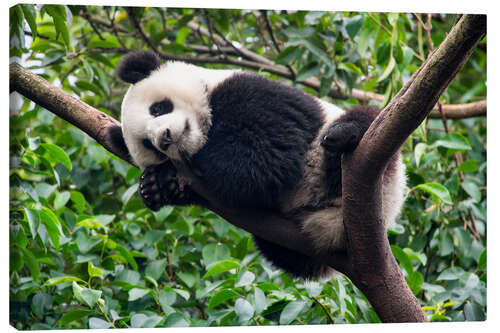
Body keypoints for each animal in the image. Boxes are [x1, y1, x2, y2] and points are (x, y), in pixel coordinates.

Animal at [109, 49, 406, 278]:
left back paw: (344, 134)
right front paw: (157, 185)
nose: (165, 138)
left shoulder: (254, 94)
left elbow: (266, 159)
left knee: (366, 122)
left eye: (158, 108)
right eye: (148, 145)